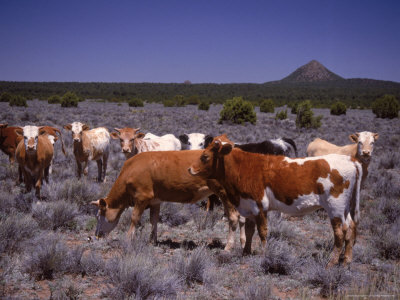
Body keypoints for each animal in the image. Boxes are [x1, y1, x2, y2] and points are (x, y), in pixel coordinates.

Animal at [90, 150, 241, 251]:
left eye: (98, 216)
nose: (97, 234)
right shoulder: (155, 200)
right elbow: (154, 220)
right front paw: (152, 240)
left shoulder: (142, 197)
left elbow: (134, 218)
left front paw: (128, 240)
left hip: (224, 193)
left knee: (234, 217)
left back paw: (229, 247)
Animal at [190, 135, 362, 266]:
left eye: (205, 156)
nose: (190, 169)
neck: (244, 167)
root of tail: (350, 160)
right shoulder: (249, 206)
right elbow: (249, 230)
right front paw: (246, 252)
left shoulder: (260, 206)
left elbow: (263, 232)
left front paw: (265, 254)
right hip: (344, 209)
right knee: (350, 228)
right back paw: (346, 260)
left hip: (335, 208)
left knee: (340, 233)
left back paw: (332, 263)